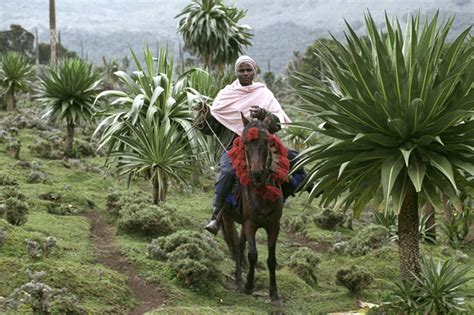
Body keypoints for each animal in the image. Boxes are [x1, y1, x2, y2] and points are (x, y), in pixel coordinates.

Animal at [218, 112, 288, 308]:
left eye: (266, 141)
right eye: (245, 142)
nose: (257, 173)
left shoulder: (274, 226)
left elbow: (271, 260)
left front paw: (274, 294)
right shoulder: (250, 224)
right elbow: (252, 254)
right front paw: (249, 285)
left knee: (240, 246)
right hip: (227, 218)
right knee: (236, 247)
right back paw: (239, 282)